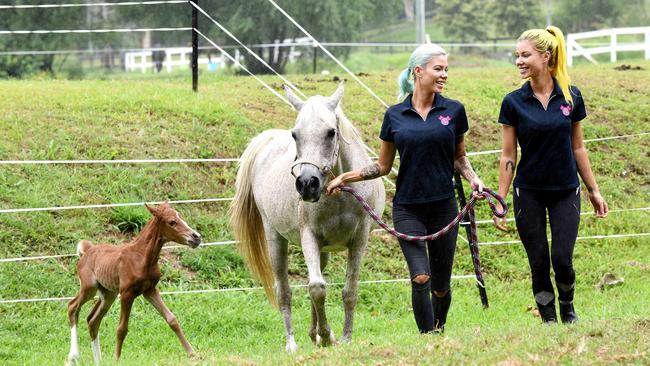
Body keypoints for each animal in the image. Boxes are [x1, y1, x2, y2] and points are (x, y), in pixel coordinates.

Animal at [66, 202, 200, 364]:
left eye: (180, 216)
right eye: (172, 222)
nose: (196, 237)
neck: (142, 257)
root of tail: (87, 251)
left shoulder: (150, 290)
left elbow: (172, 319)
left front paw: (193, 354)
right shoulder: (127, 294)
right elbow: (122, 328)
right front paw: (117, 359)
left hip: (108, 294)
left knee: (93, 320)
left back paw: (99, 361)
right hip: (89, 288)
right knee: (73, 307)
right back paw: (73, 356)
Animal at [230, 83, 384, 352]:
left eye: (331, 132)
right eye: (295, 134)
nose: (306, 184)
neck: (339, 194)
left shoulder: (359, 239)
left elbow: (349, 291)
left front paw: (344, 337)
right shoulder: (308, 237)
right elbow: (317, 288)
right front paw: (327, 334)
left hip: (323, 250)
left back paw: (315, 335)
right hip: (276, 240)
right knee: (285, 291)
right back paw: (293, 343)